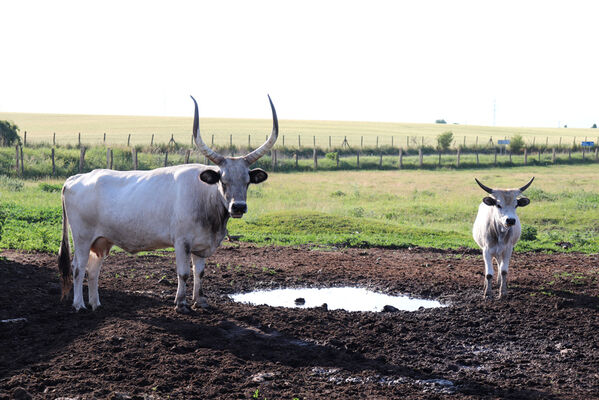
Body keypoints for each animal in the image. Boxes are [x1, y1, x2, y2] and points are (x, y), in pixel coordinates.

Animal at [58, 96, 278, 312]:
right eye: (222, 181)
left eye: (247, 181)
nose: (238, 207)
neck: (205, 198)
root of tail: (75, 178)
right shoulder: (182, 242)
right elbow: (184, 273)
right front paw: (181, 303)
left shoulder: (201, 245)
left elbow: (200, 273)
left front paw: (200, 301)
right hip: (82, 237)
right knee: (78, 268)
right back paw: (79, 305)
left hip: (101, 241)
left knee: (93, 270)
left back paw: (96, 304)